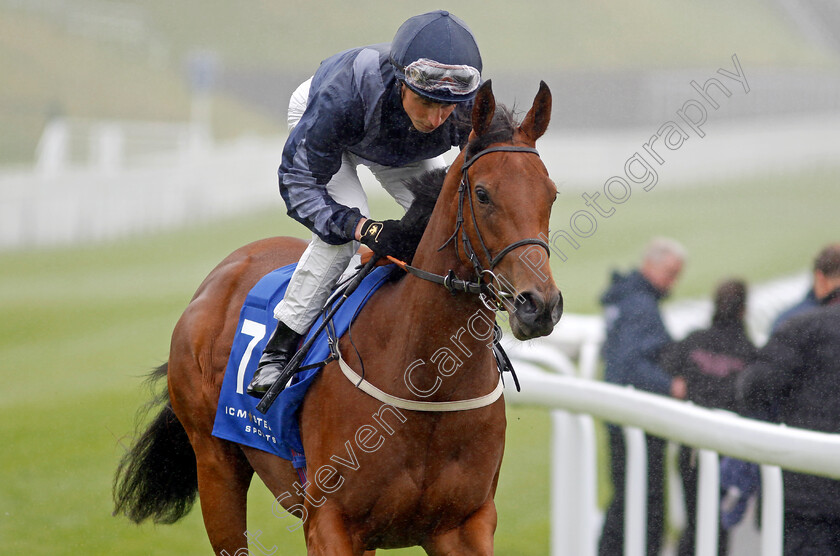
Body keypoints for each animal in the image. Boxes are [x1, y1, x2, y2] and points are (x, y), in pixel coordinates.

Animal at [110, 79, 556, 556]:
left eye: (551, 193)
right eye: (483, 194)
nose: (539, 305)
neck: (427, 385)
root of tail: (219, 275)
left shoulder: (465, 525)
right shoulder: (330, 523)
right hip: (215, 464)